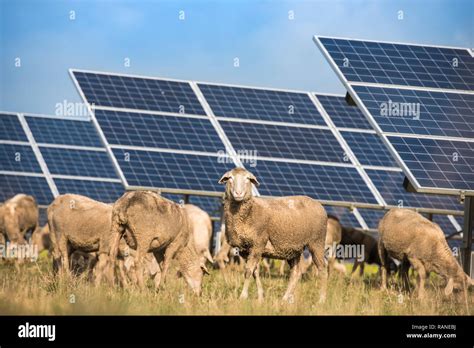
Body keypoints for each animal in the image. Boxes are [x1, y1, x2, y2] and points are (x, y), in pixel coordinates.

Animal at [218, 168, 326, 302]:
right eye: (230, 178)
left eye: (248, 179)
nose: (238, 193)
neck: (249, 212)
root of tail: (318, 203)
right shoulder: (245, 249)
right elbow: (255, 272)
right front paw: (260, 297)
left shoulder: (258, 243)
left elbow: (248, 271)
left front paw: (243, 296)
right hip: (294, 248)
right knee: (296, 273)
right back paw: (285, 299)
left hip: (317, 242)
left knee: (322, 270)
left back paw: (321, 300)